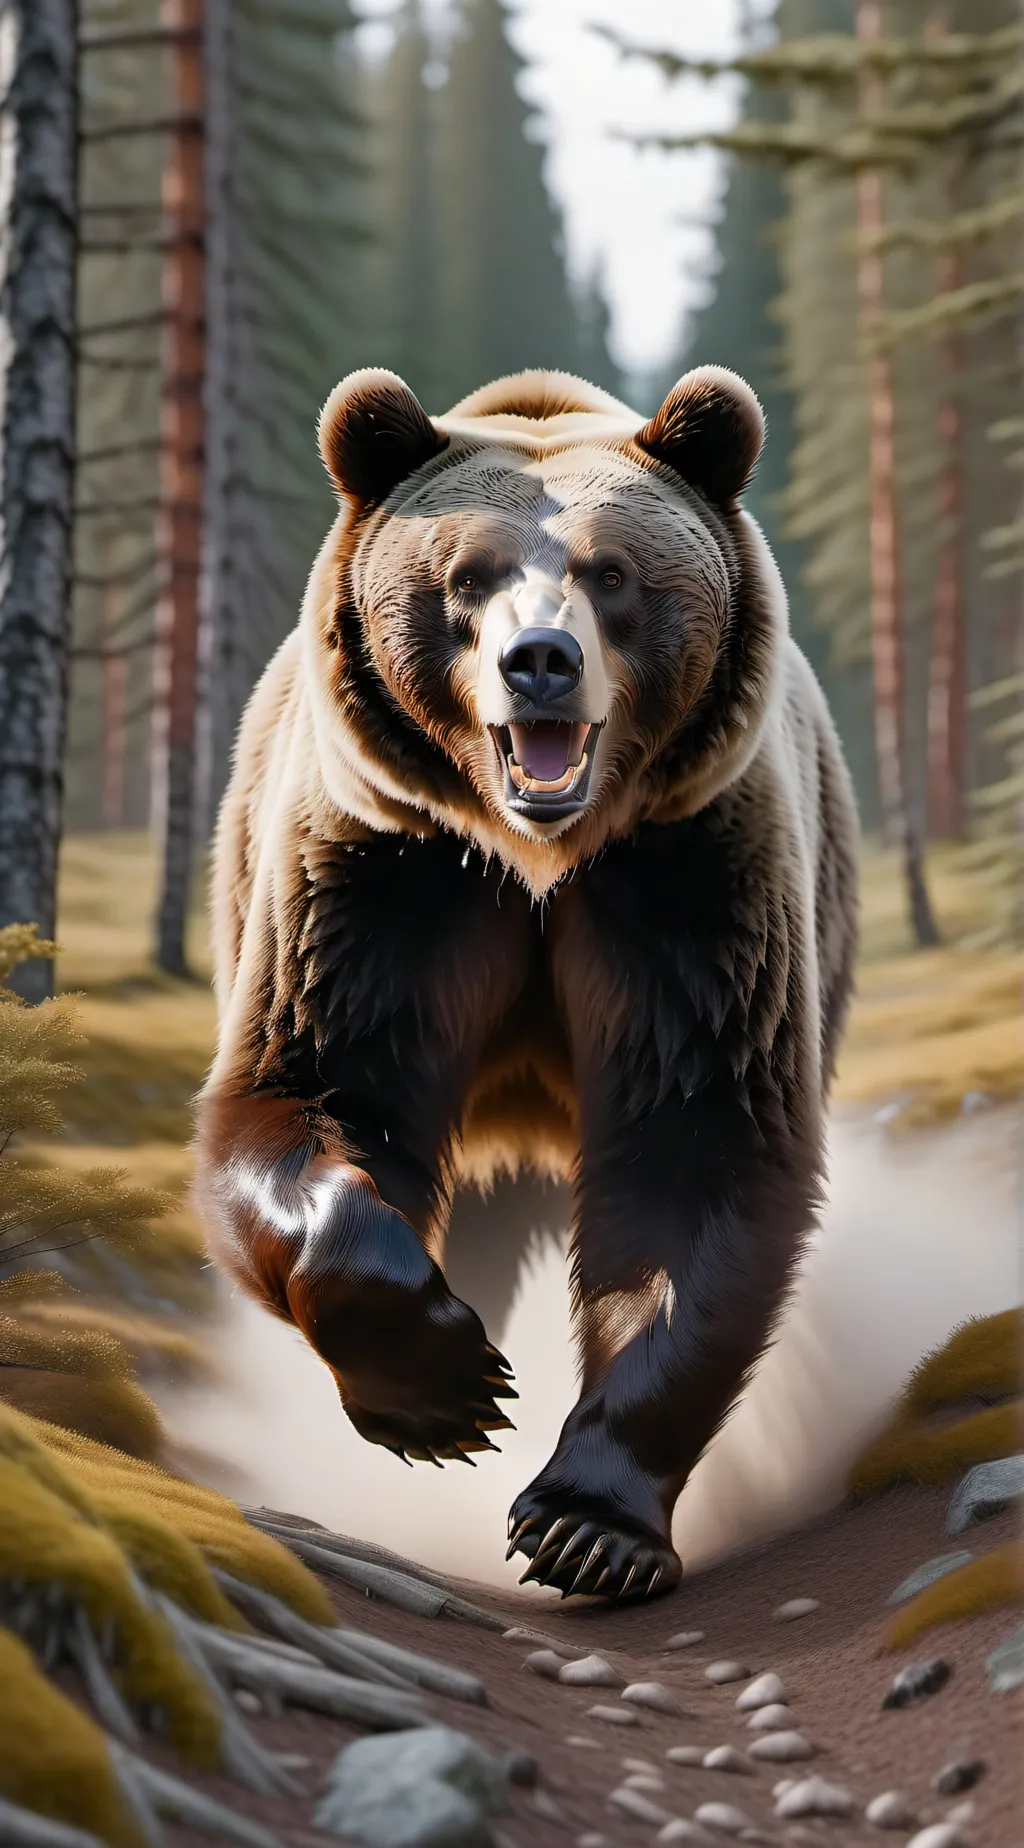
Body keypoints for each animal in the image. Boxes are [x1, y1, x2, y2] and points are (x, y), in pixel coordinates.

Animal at [194, 364, 859, 1603]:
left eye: (612, 573)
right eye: (467, 576)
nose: (539, 659)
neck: (539, 861)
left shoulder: (689, 880)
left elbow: (693, 1146)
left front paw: (586, 1525)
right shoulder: (384, 874)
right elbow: (309, 1089)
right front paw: (446, 1389)